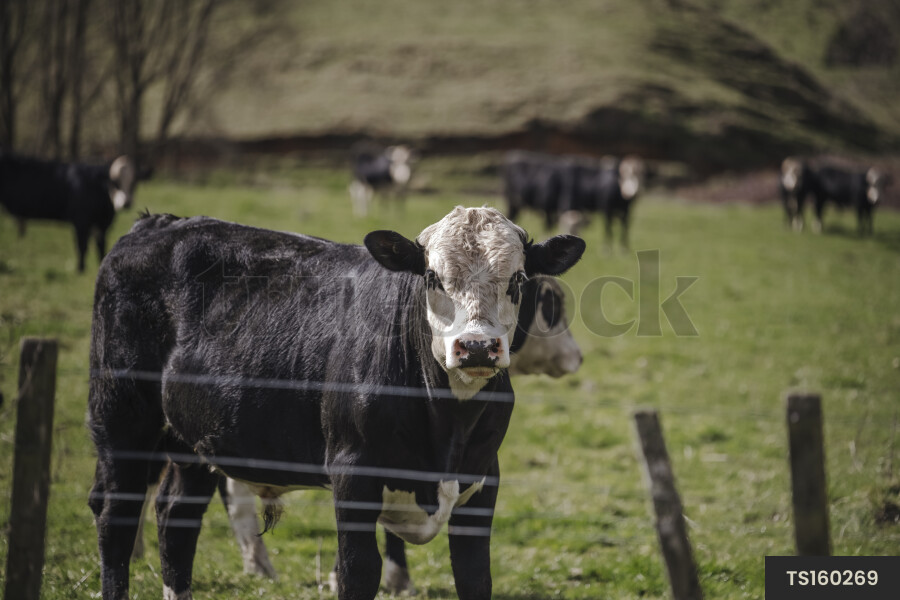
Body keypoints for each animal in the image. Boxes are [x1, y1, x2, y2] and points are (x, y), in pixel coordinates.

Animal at [0, 153, 136, 272]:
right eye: (116, 183)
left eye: (133, 183)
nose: (127, 203)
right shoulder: (81, 222)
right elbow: (82, 246)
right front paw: (80, 269)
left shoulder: (103, 224)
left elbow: (101, 247)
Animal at [88, 206, 585, 600]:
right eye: (431, 277)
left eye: (517, 278)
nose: (477, 347)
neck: (447, 426)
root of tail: (159, 222)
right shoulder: (353, 474)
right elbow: (358, 572)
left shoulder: (482, 481)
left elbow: (474, 576)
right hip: (120, 419)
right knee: (116, 519)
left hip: (193, 439)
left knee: (176, 519)